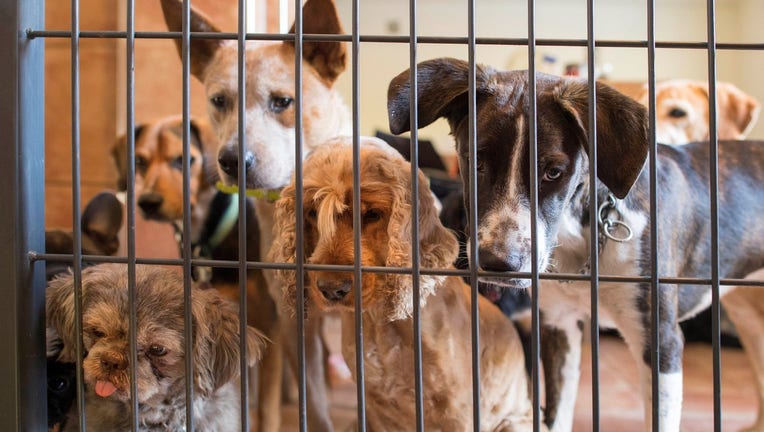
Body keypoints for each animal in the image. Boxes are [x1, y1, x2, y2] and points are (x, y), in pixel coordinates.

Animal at [388, 58, 764, 432]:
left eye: (554, 172)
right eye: (476, 162)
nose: (499, 263)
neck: (582, 239)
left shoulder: (661, 343)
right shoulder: (558, 325)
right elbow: (556, 412)